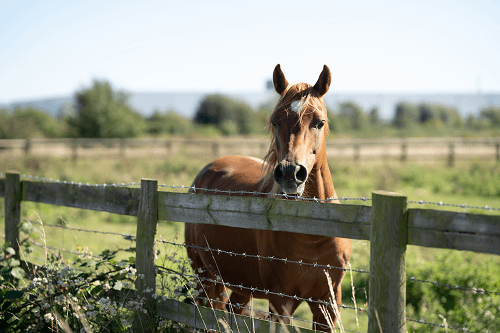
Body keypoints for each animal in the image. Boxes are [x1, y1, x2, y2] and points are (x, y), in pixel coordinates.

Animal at [185, 63, 352, 330]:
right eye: (275, 121)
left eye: (320, 122)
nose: (290, 172)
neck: (313, 234)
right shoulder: (281, 301)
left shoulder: (328, 303)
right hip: (207, 279)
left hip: (240, 287)